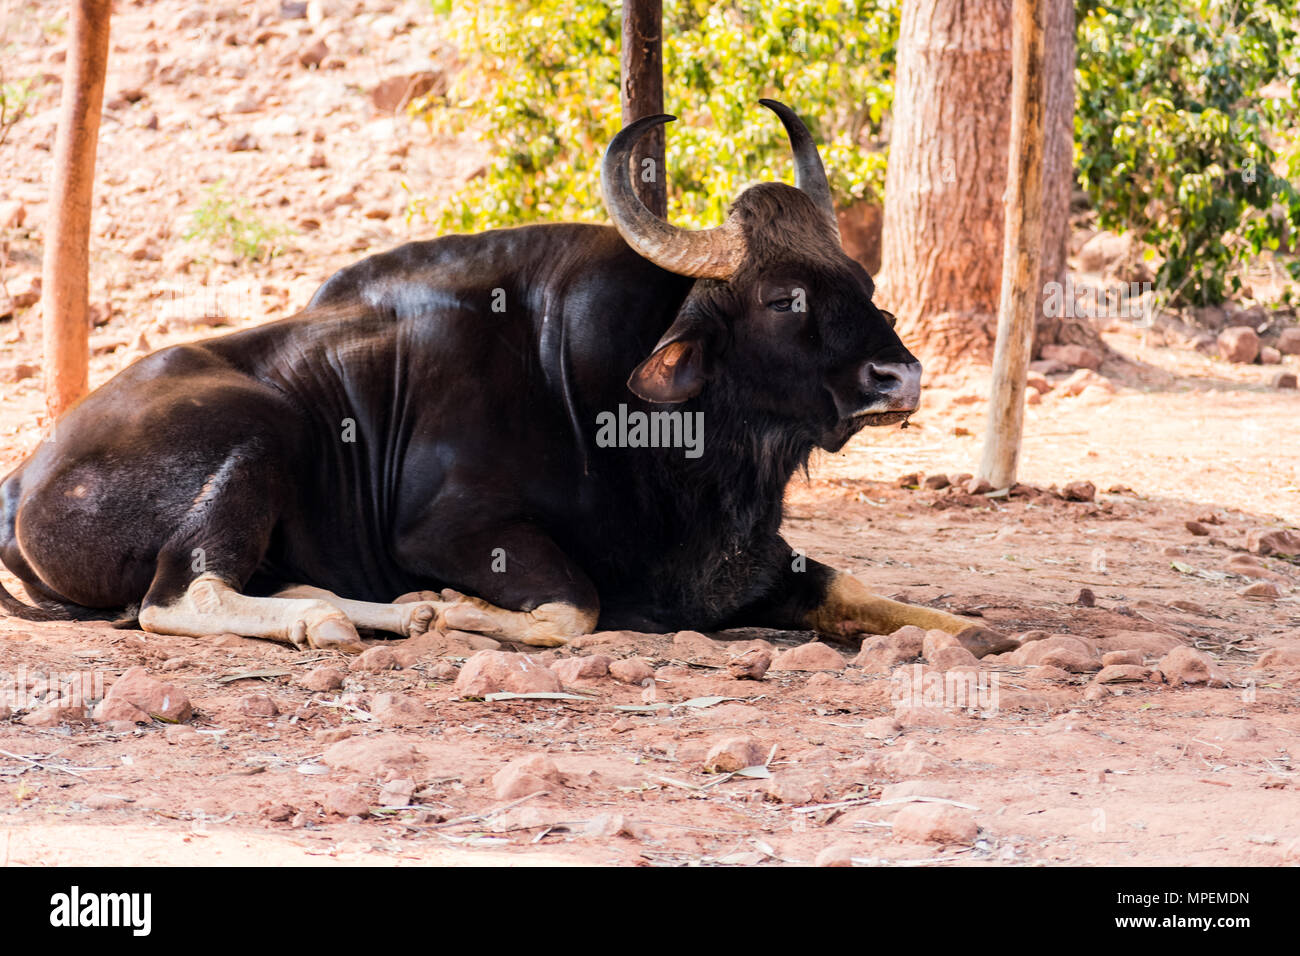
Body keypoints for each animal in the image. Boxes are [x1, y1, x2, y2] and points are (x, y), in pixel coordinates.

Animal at [2, 102, 1013, 658]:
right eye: (781, 296)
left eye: (862, 283)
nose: (899, 375)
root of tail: (27, 478)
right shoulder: (456, 530)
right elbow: (575, 606)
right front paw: (452, 608)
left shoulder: (756, 561)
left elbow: (866, 593)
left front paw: (976, 629)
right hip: (258, 434)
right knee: (176, 598)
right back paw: (343, 621)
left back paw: (358, 609)